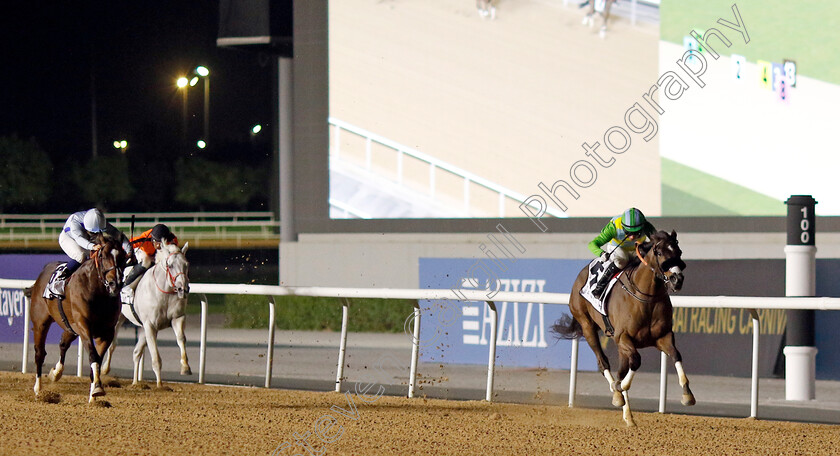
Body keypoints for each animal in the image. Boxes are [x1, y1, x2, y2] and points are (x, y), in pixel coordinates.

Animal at [27, 235, 128, 402]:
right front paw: (97, 388)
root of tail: (44, 270)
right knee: (40, 353)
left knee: (63, 344)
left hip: (70, 326)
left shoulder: (106, 333)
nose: (115, 283)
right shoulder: (83, 326)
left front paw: (94, 394)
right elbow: (93, 355)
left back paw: (56, 373)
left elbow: (98, 359)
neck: (99, 293)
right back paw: (38, 389)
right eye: (102, 255)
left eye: (123, 256)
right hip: (40, 322)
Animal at [552, 232, 696, 428]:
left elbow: (676, 355)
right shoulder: (623, 337)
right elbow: (635, 362)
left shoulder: (663, 336)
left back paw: (627, 414)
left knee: (621, 369)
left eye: (679, 251)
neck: (646, 297)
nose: (677, 279)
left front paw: (687, 395)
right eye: (659, 252)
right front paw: (619, 390)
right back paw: (619, 398)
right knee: (603, 362)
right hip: (587, 325)